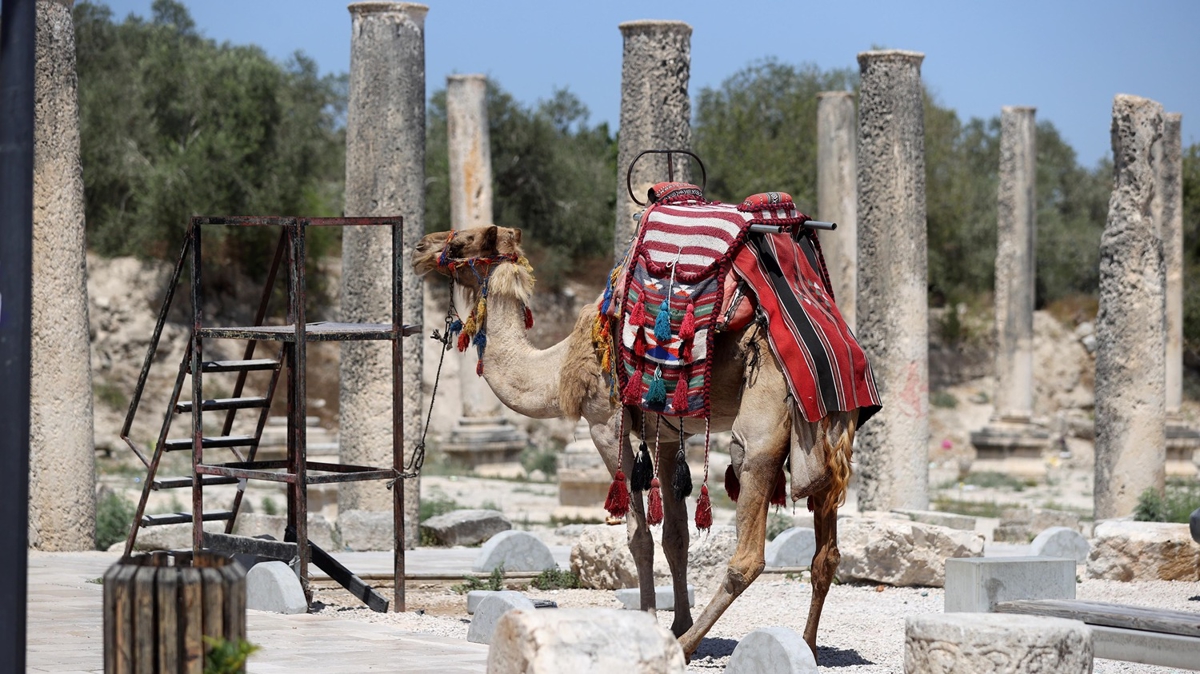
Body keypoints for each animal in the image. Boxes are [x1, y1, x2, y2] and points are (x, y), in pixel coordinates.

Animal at [408, 223, 859, 657]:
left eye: (463, 242)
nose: (420, 248)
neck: (556, 368)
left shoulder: (606, 424)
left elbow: (639, 537)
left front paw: (654, 624)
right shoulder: (669, 435)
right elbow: (675, 537)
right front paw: (676, 620)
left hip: (765, 408)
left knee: (748, 532)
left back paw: (690, 646)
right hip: (825, 429)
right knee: (826, 552)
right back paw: (807, 646)